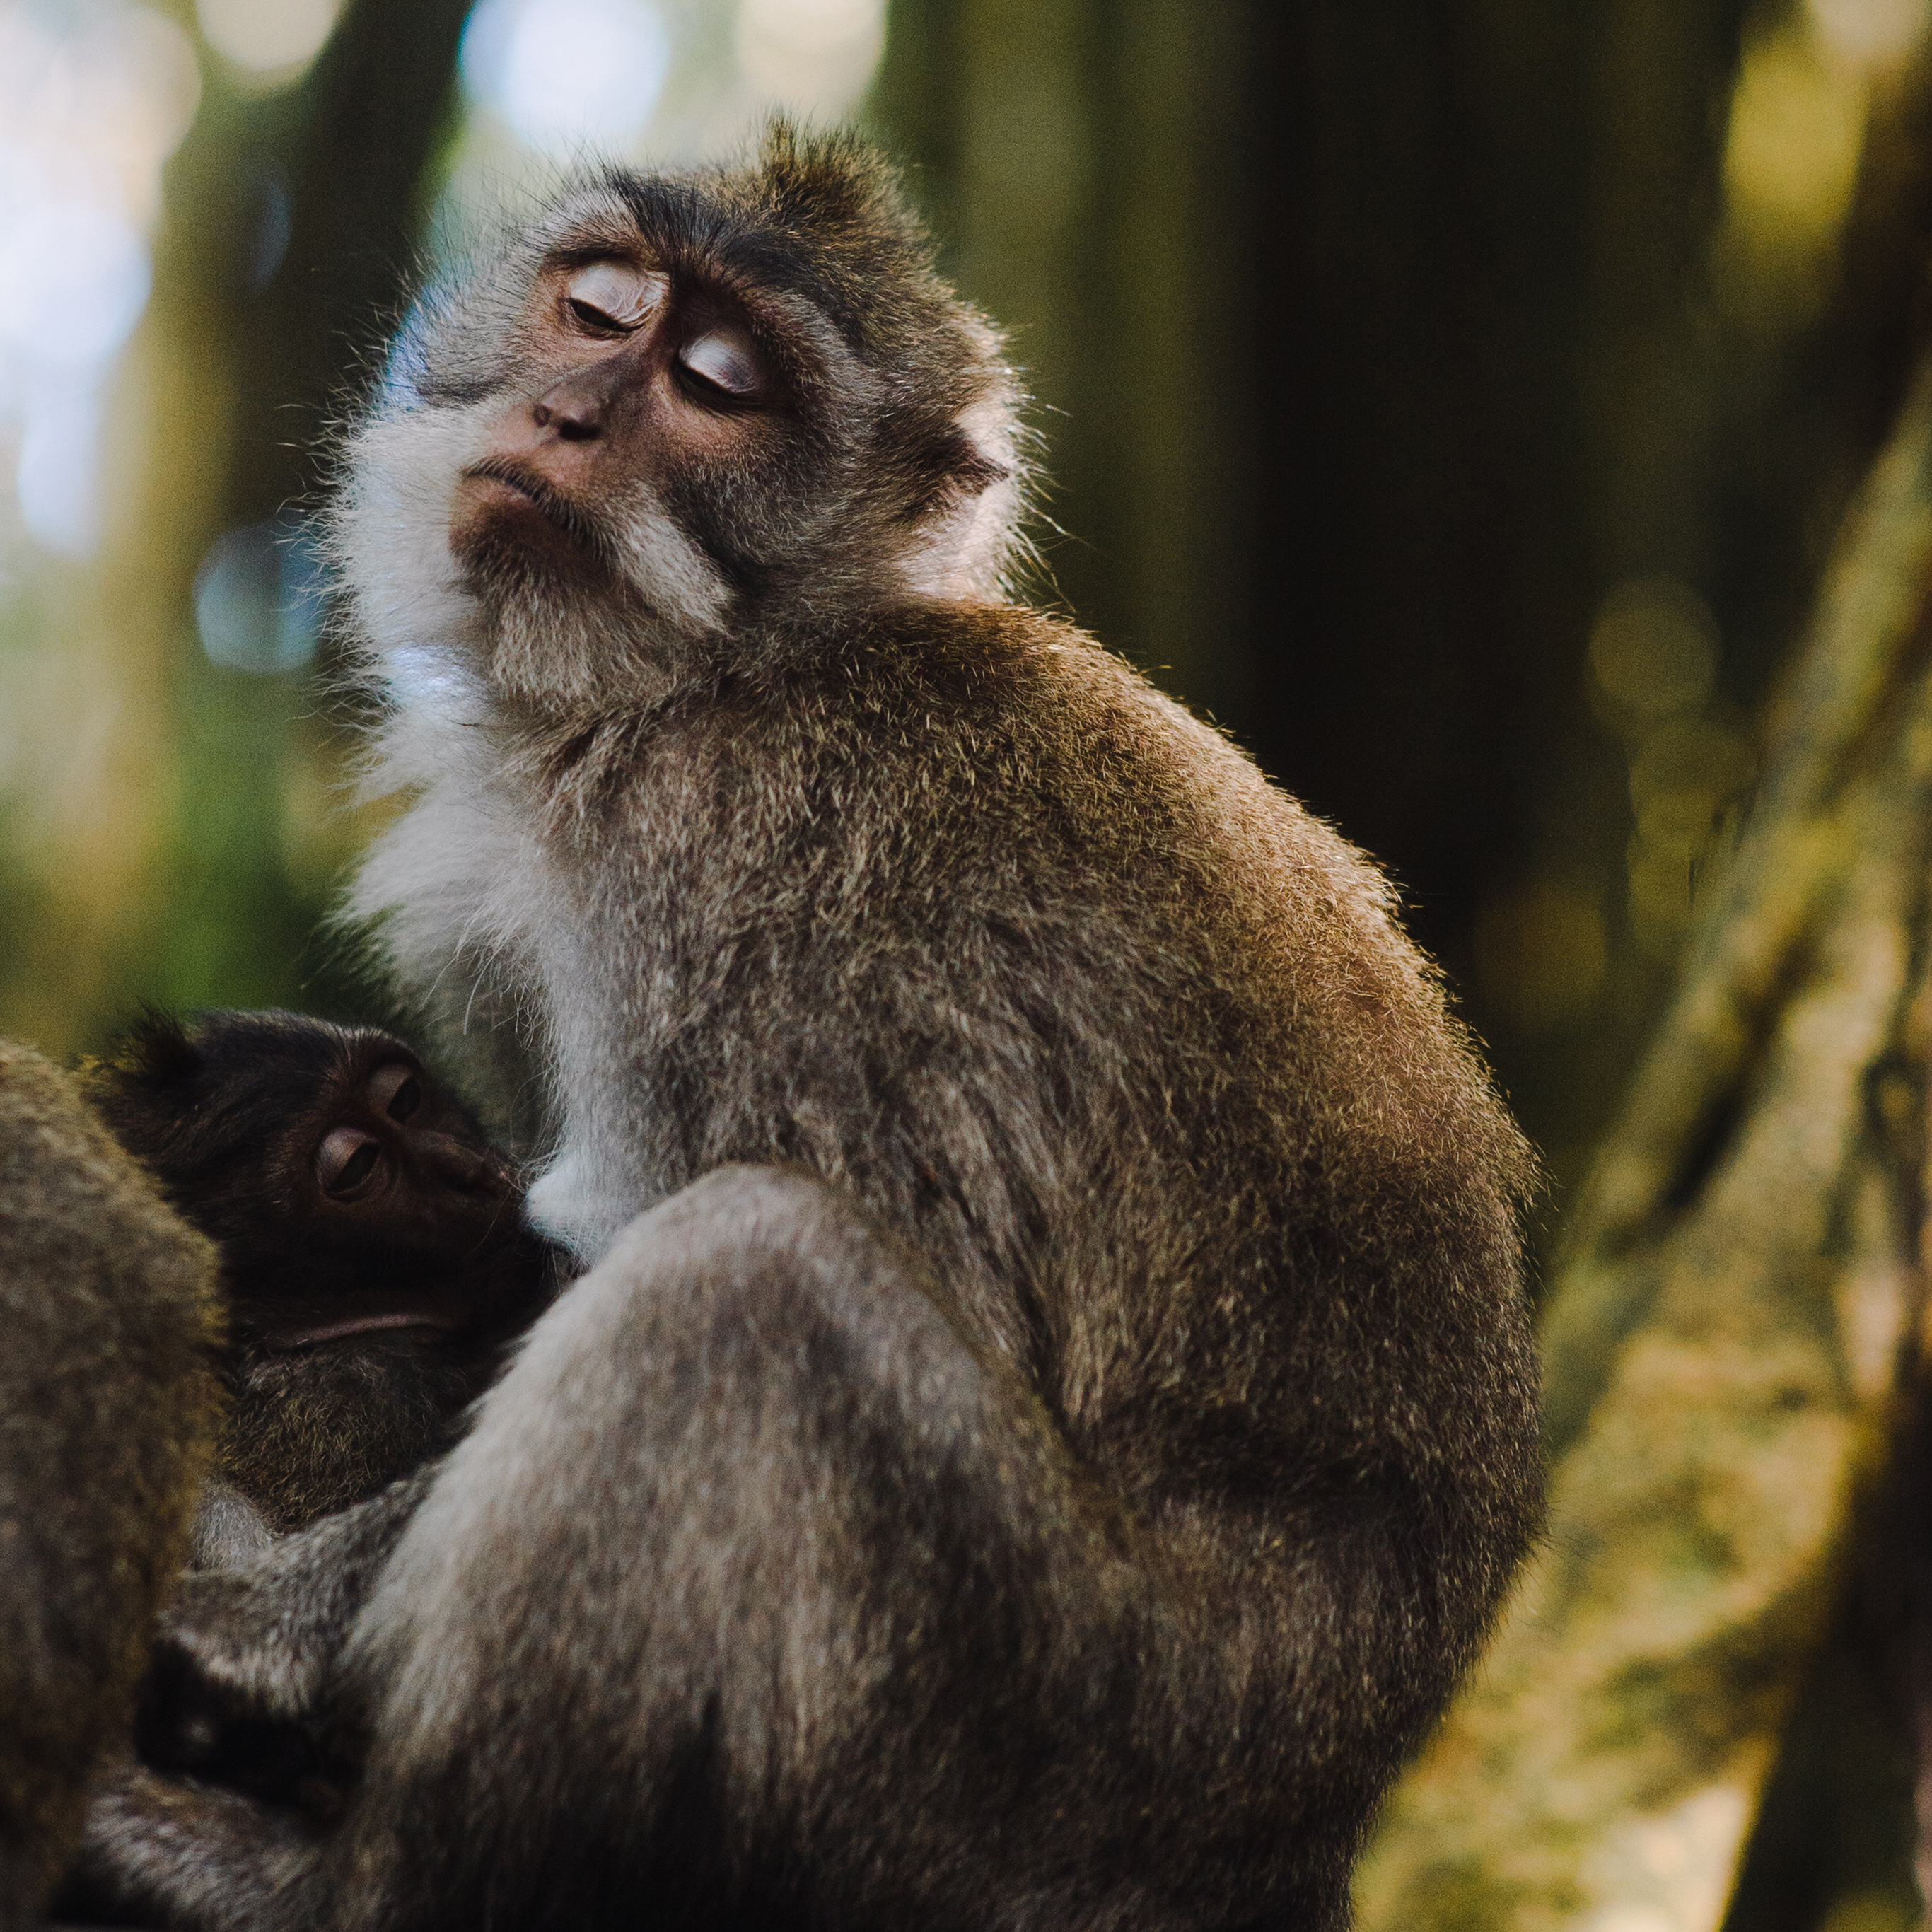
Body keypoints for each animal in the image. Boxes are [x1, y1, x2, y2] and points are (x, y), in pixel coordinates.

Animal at [79, 128, 1537, 1924]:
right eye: (597, 304)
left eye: (718, 383)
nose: (568, 416)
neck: (711, 671)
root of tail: (1300, 1848)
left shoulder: (711, 849)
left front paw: (251, 1634)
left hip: (1027, 1757)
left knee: (748, 1281)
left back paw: (327, 1882)